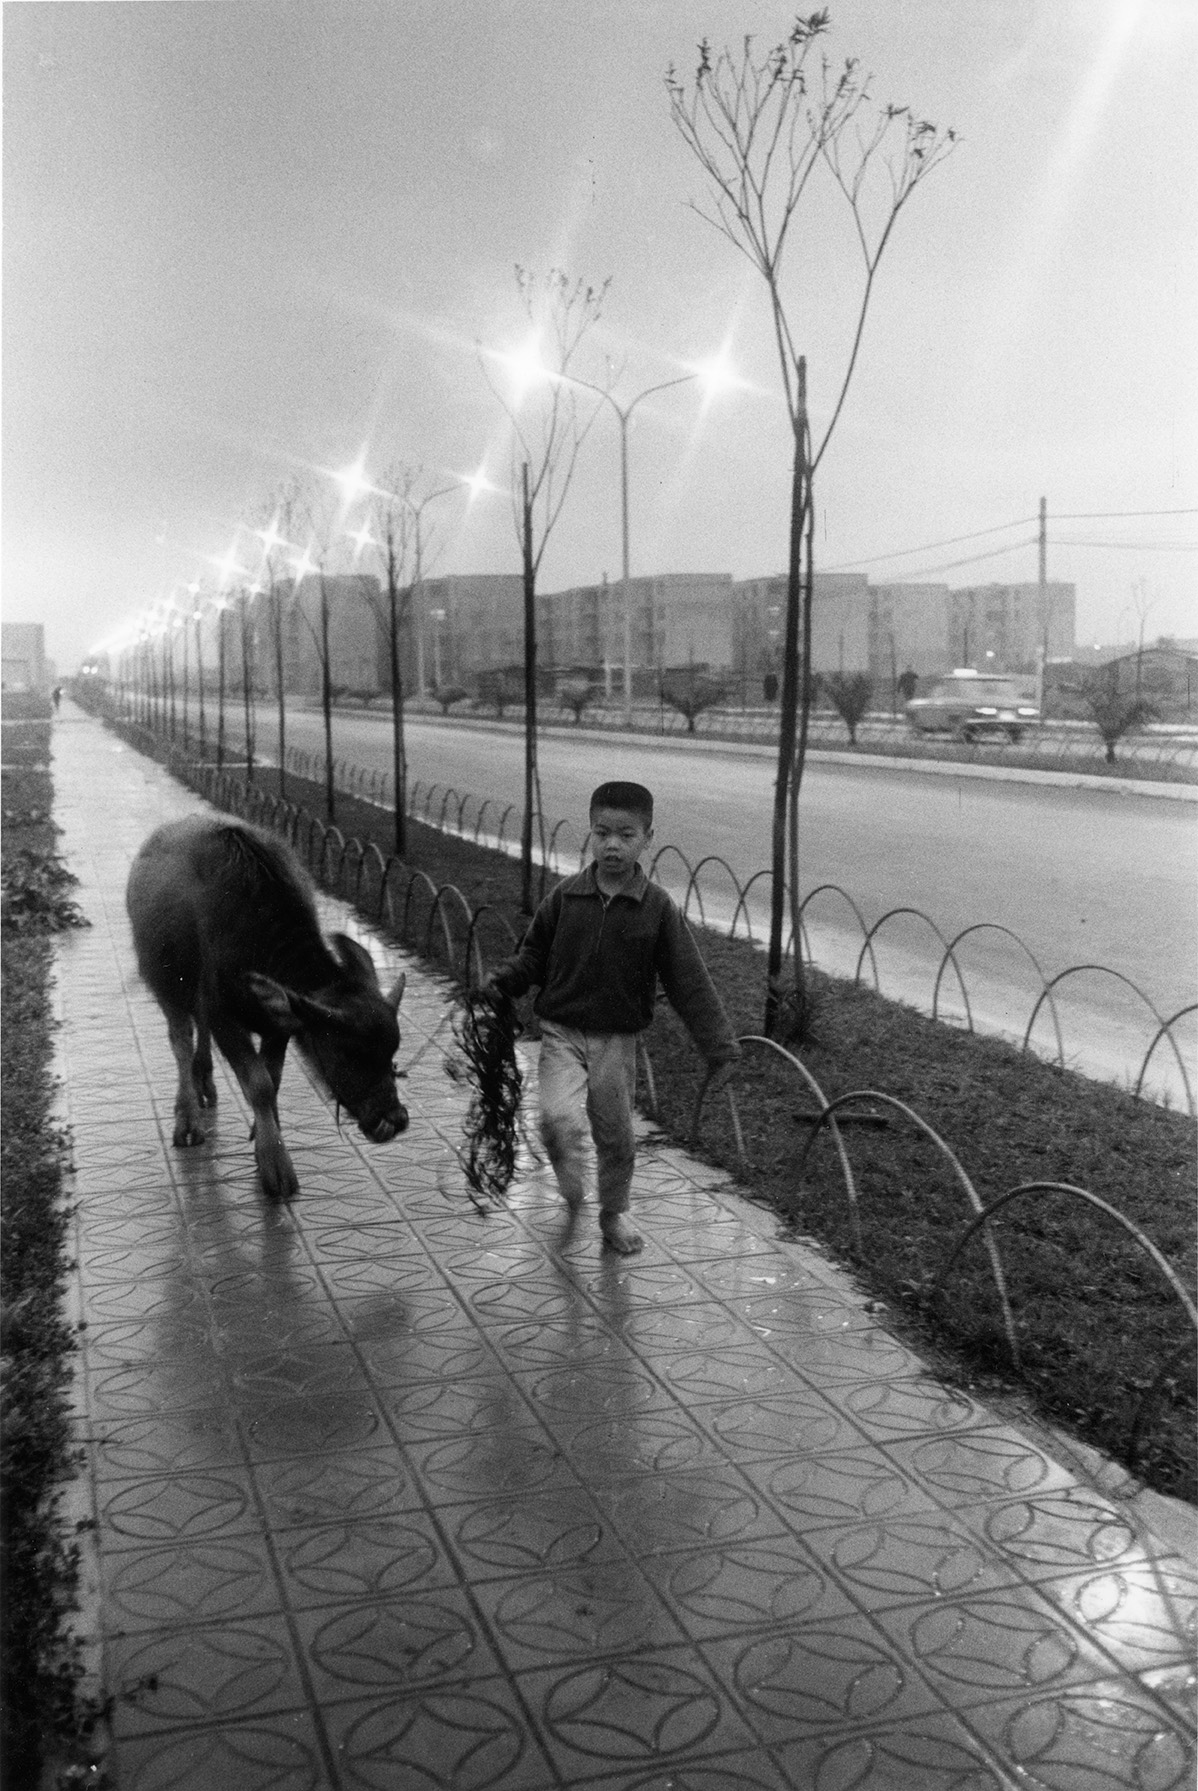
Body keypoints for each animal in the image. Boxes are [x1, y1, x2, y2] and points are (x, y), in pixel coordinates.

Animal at [126, 815, 407, 1199]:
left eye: (392, 1053)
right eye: (347, 1052)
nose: (394, 1120)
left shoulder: (279, 1025)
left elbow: (271, 1081)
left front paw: (265, 1139)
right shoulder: (224, 1016)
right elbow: (258, 1085)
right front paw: (275, 1165)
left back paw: (204, 1082)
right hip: (167, 983)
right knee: (181, 1040)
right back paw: (188, 1117)